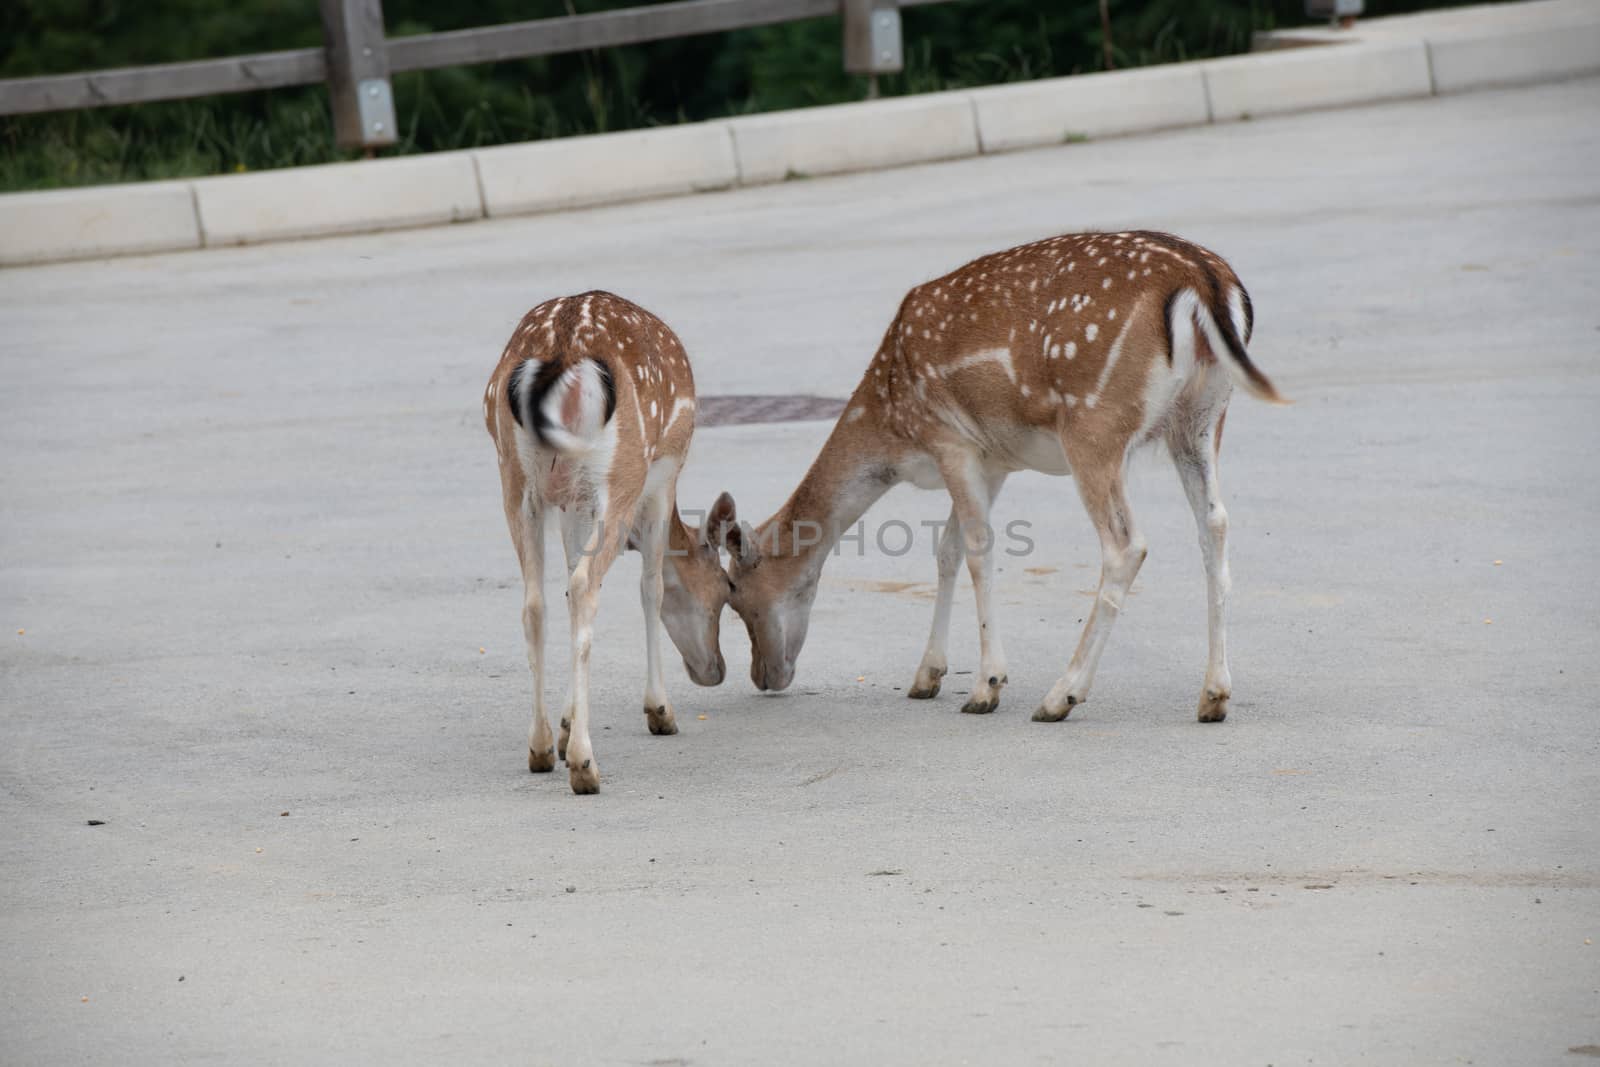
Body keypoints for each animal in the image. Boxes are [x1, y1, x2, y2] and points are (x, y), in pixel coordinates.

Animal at [483, 292, 739, 793]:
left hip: (516, 479)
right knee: (586, 586)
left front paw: (565, 728)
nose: (715, 671)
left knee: (537, 601)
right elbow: (652, 588)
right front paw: (659, 711)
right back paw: (585, 766)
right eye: (725, 590)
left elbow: (565, 582)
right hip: (620, 472)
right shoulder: (662, 479)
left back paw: (541, 747)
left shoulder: (571, 504)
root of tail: (561, 353)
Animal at [713, 233, 1286, 726]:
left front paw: (986, 686)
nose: (764, 677)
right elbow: (944, 552)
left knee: (1126, 545)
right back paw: (1213, 695)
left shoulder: (951, 440)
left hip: (1094, 421)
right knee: (1214, 525)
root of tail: (1204, 280)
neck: (894, 428)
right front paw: (926, 677)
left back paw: (1061, 696)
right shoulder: (991, 460)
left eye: (736, 597)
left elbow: (977, 551)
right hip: (1202, 418)